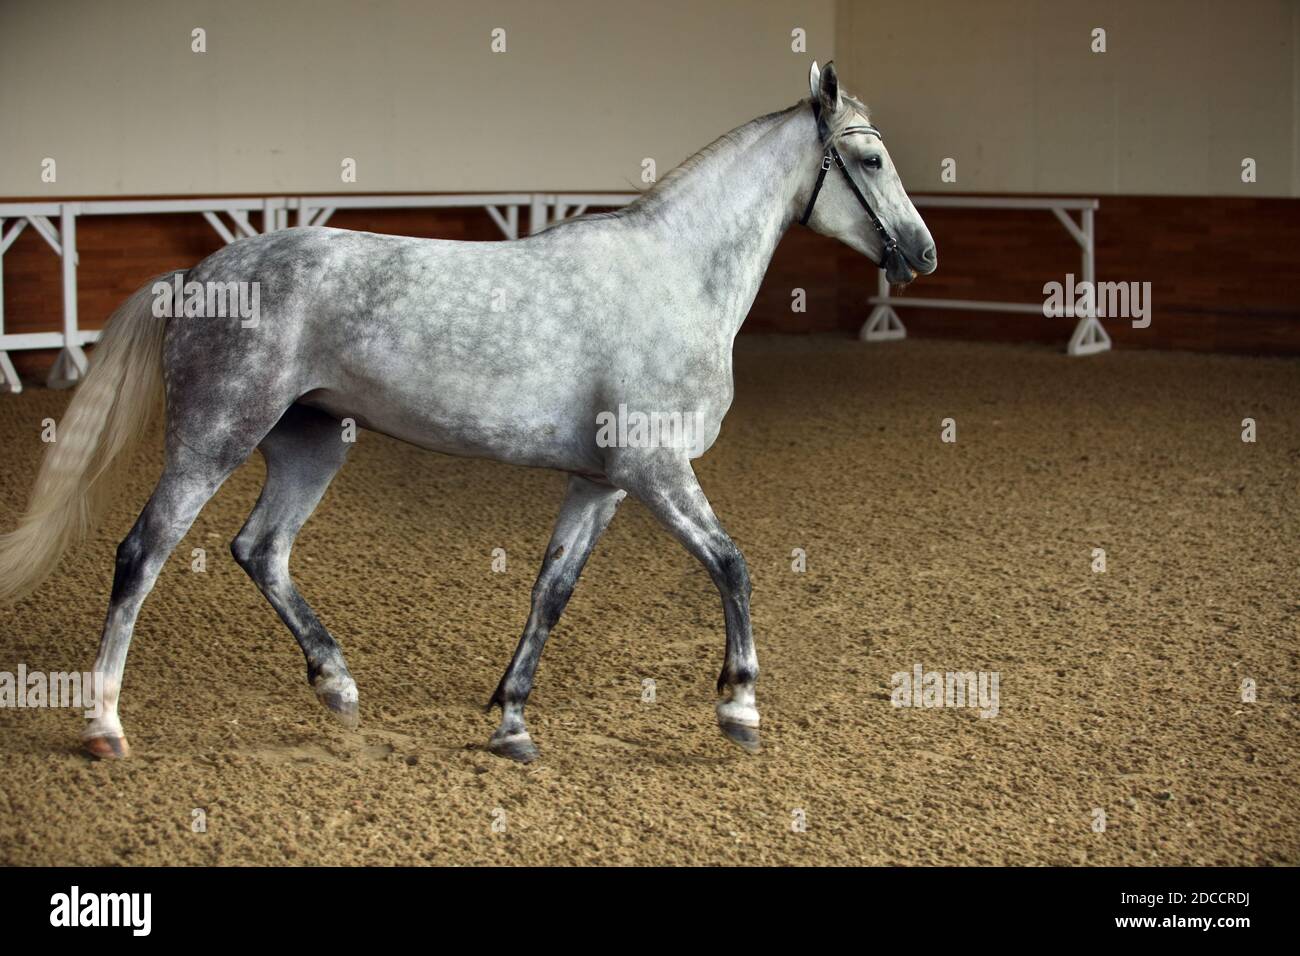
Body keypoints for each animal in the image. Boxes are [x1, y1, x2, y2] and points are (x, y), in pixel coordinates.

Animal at [0, 61, 935, 764]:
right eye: (872, 162)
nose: (924, 253)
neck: (674, 274)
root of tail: (196, 275)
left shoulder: (602, 482)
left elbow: (551, 590)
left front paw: (511, 721)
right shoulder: (657, 469)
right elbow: (732, 565)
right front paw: (738, 708)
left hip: (311, 443)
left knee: (259, 549)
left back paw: (337, 683)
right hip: (215, 436)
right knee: (143, 554)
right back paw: (104, 726)